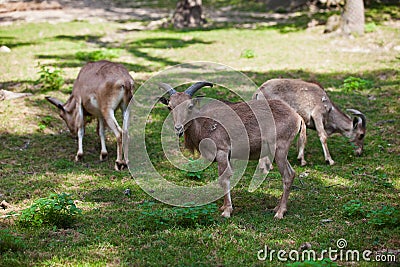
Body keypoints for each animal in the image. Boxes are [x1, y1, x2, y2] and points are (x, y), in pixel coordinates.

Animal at [159, 81, 306, 220]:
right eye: (169, 107)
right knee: (292, 173)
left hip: (280, 148)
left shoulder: (222, 151)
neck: (204, 124)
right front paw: (224, 207)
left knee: (287, 175)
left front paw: (227, 211)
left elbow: (224, 178)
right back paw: (277, 207)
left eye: (189, 106)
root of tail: (297, 117)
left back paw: (280, 212)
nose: (178, 128)